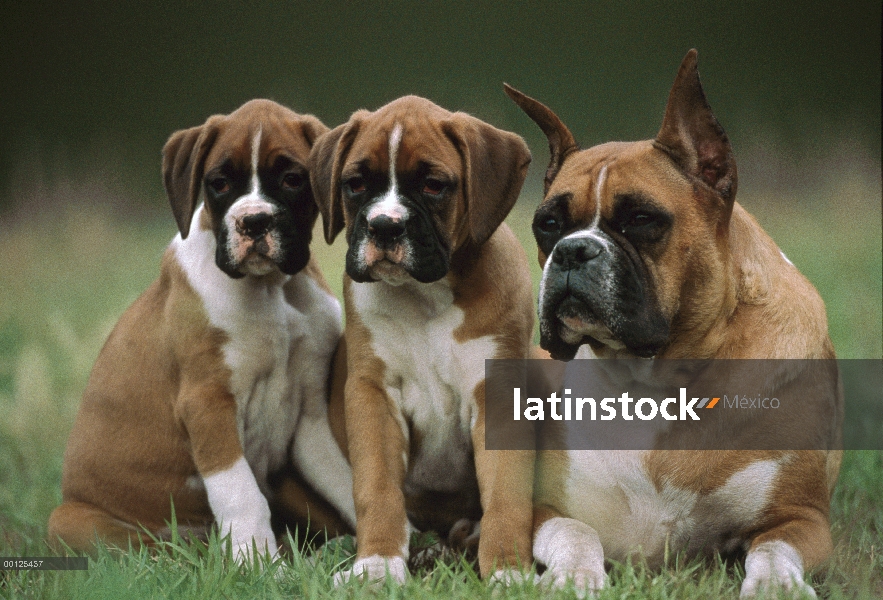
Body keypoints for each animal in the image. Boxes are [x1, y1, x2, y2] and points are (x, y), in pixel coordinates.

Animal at [48, 99, 358, 564]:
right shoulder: (207, 404)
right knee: (150, 551)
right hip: (71, 521)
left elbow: (346, 481)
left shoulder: (310, 414)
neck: (270, 289)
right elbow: (241, 494)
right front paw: (260, 565)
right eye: (219, 183)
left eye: (292, 179)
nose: (254, 221)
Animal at [308, 96, 536, 584]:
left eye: (433, 185)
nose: (384, 225)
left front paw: (509, 571)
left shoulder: (499, 394)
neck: (425, 295)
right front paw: (377, 564)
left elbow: (507, 494)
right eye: (356, 184)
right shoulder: (374, 395)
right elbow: (377, 487)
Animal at [504, 49, 844, 596]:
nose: (573, 250)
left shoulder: (799, 518)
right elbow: (576, 534)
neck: (657, 380)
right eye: (547, 225)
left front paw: (776, 586)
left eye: (642, 220)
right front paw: (575, 577)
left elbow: (772, 552)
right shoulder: (542, 510)